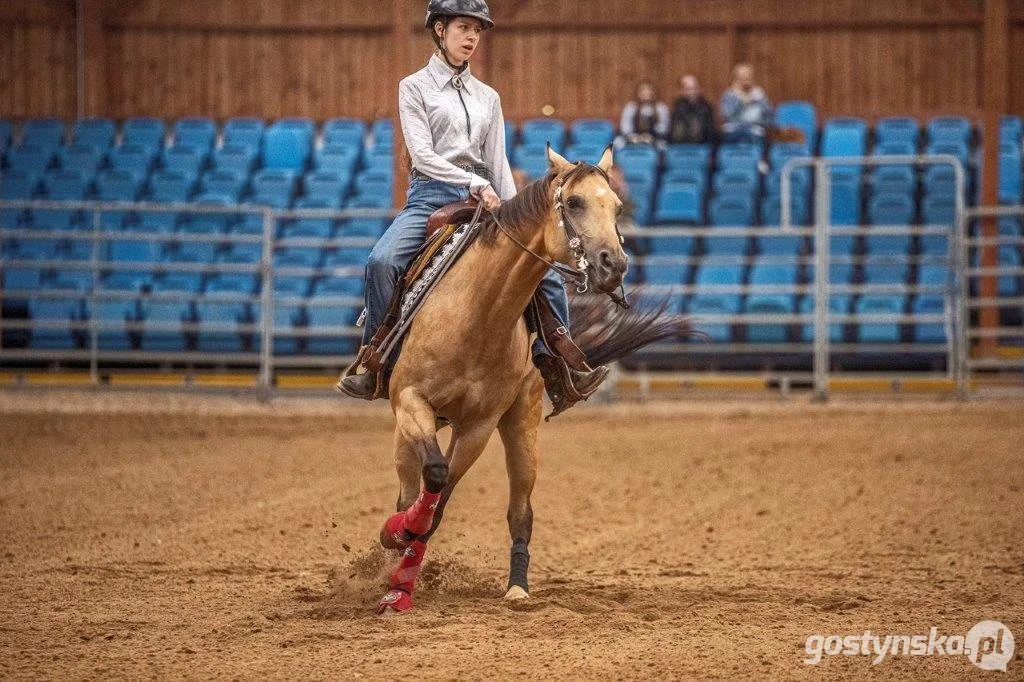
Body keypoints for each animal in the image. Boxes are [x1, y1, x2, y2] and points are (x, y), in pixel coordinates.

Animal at [368, 146, 688, 614]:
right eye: (574, 202)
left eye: (617, 206)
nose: (614, 264)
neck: (477, 313)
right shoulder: (410, 400)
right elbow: (433, 475)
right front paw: (396, 551)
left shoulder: (480, 425)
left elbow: (441, 499)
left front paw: (401, 577)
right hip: (406, 431)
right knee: (410, 489)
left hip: (522, 422)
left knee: (520, 510)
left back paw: (516, 587)